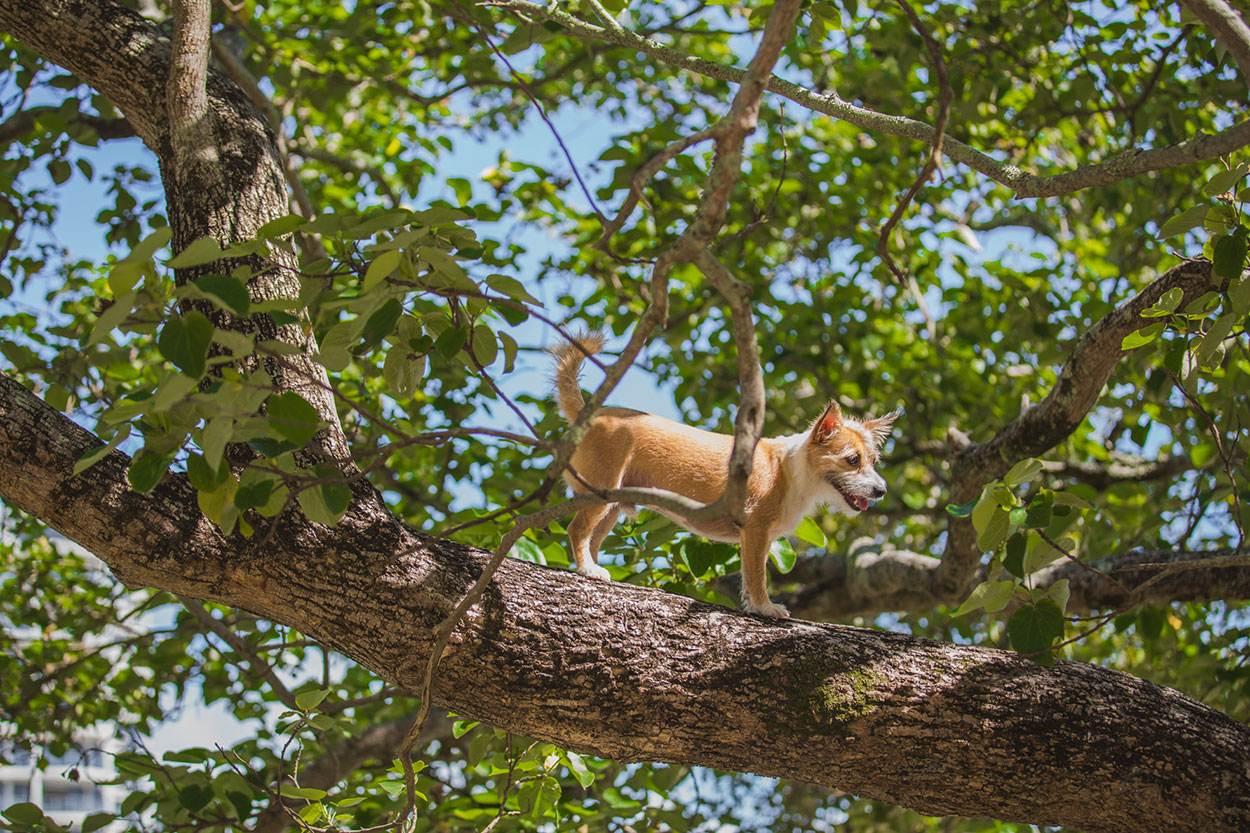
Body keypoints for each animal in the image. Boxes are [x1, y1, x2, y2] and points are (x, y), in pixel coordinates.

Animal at [550, 332, 900, 615]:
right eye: (852, 460)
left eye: (873, 460)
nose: (882, 491)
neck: (791, 470)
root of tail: (591, 414)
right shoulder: (755, 532)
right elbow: (757, 577)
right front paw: (765, 608)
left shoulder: (758, 539)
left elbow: (749, 576)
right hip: (600, 492)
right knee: (577, 530)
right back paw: (588, 569)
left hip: (611, 502)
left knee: (592, 537)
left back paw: (593, 568)